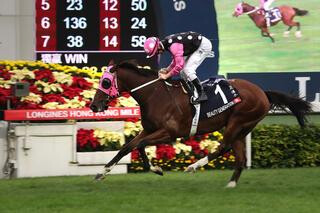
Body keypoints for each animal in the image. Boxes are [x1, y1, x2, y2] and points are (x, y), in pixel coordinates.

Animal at [89, 60, 312, 187]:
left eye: (105, 82)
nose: (93, 105)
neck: (155, 95)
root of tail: (263, 93)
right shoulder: (149, 129)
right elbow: (127, 147)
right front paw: (101, 173)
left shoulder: (170, 133)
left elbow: (140, 146)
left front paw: (157, 169)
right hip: (241, 128)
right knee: (240, 158)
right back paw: (230, 184)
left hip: (238, 122)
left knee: (223, 147)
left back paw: (193, 166)